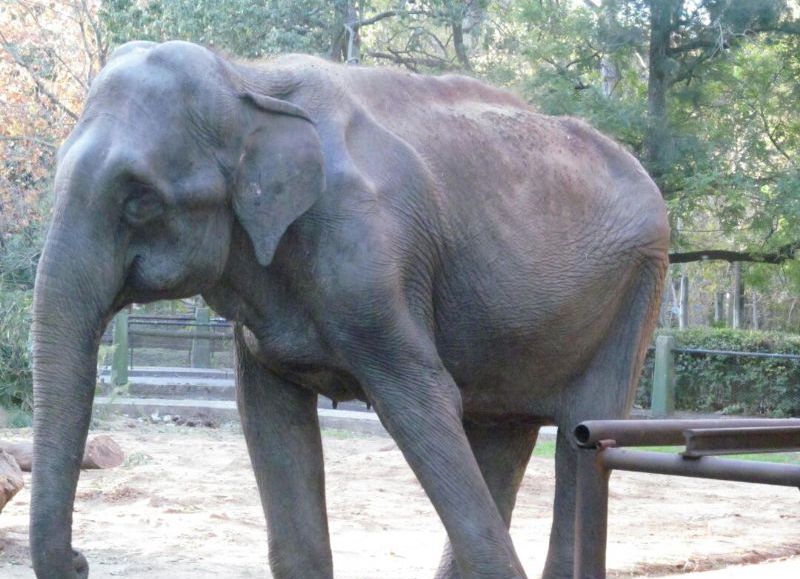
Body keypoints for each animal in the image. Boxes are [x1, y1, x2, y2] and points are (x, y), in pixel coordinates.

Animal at [29, 40, 668, 579]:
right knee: (501, 431)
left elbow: (425, 402)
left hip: (639, 284)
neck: (247, 79)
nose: (82, 561)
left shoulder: (370, 256)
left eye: (139, 200)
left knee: (583, 433)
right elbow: (267, 416)